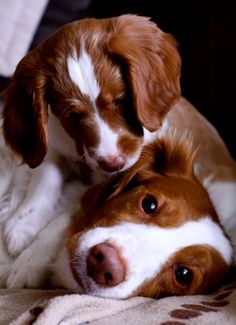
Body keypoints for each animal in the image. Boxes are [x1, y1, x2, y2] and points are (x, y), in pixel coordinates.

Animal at [1, 14, 181, 256]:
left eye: (120, 101)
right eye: (71, 116)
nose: (113, 163)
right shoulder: (52, 146)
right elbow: (46, 179)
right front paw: (23, 223)